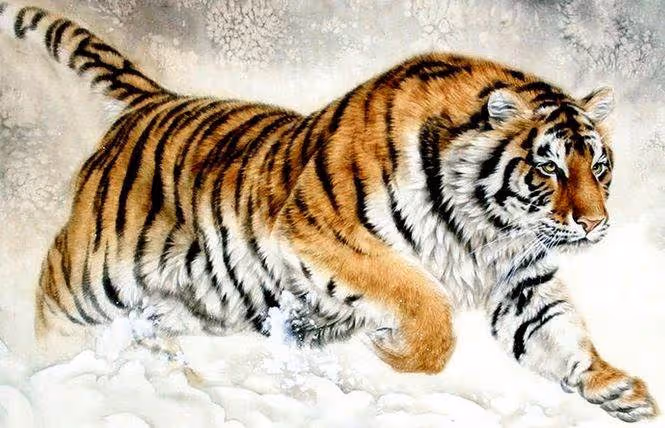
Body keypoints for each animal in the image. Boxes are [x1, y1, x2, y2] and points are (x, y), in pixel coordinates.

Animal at [0, 2, 658, 422]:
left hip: (196, 297)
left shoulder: (522, 281)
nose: (595, 223)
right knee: (49, 294)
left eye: (599, 168)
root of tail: (156, 100)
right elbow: (421, 299)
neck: (488, 230)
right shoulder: (323, 235)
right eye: (549, 168)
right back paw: (39, 371)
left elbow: (560, 335)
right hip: (88, 274)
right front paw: (393, 350)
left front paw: (619, 390)